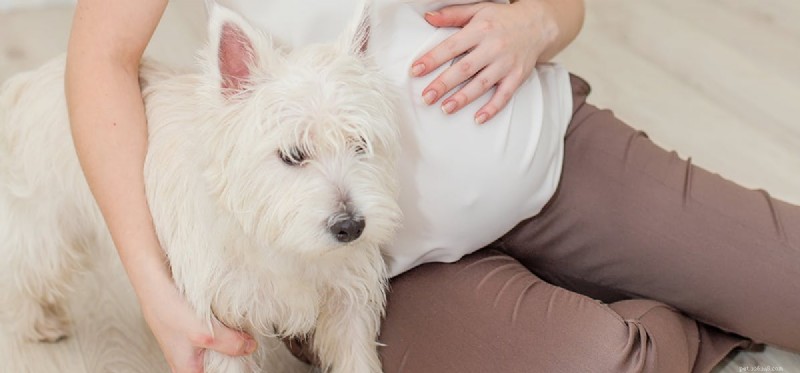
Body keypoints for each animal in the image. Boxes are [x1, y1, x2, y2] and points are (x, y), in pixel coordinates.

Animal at [0, 1, 400, 370]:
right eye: (293, 154)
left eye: (360, 144)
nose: (351, 226)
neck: (284, 246)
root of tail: (33, 79)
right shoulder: (218, 323)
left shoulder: (349, 304)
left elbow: (356, 358)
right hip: (47, 226)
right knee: (23, 266)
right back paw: (37, 322)